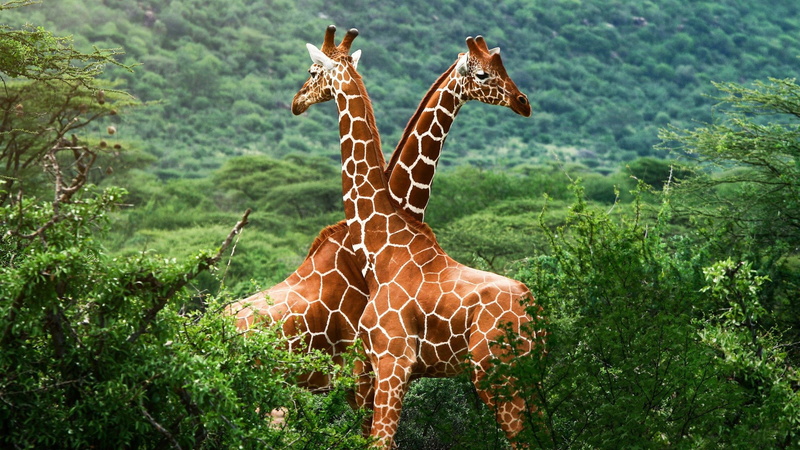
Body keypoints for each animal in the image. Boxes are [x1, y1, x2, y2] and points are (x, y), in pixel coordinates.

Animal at [289, 26, 544, 448]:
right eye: (484, 73)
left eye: (312, 71)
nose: (296, 102)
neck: (381, 244)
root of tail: (533, 309)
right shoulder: (377, 367)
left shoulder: (391, 360)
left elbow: (380, 441)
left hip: (496, 372)